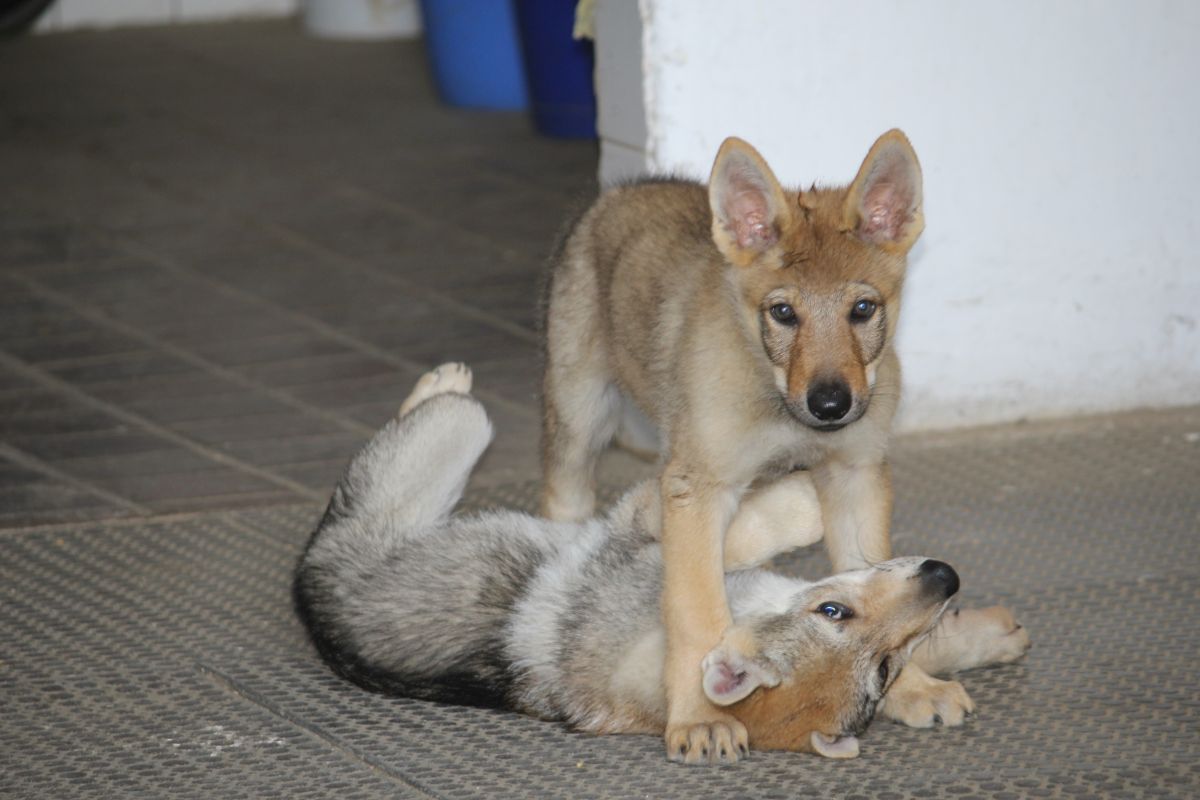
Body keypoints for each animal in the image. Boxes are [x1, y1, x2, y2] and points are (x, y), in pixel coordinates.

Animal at [295, 367, 1027, 762]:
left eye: (884, 666)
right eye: (832, 611)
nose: (947, 577)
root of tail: (304, 588)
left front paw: (978, 639)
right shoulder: (641, 524)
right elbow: (760, 520)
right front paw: (801, 496)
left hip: (449, 448)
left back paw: (436, 382)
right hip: (460, 433)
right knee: (441, 410)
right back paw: (439, 381)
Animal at [544, 130, 1012, 762]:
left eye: (862, 309)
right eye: (783, 313)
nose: (831, 405)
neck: (782, 410)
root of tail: (627, 187)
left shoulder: (854, 474)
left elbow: (880, 585)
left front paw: (912, 686)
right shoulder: (698, 490)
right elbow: (696, 613)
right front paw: (699, 718)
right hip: (579, 413)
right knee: (564, 496)